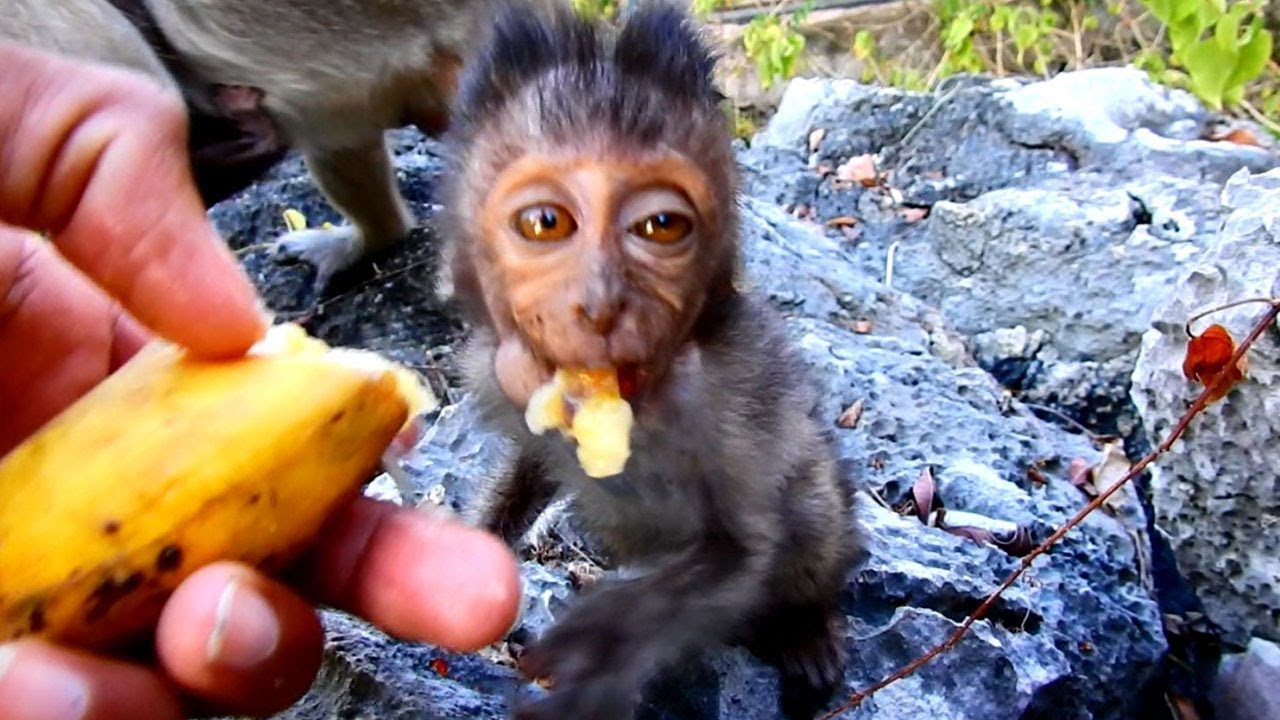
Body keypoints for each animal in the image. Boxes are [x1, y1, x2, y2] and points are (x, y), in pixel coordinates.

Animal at [441, 5, 861, 719]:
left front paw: (600, 651)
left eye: (661, 227)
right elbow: (527, 465)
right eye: (545, 222)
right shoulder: (501, 372)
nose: (600, 303)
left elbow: (737, 550)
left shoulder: (728, 396)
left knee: (808, 512)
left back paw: (805, 624)